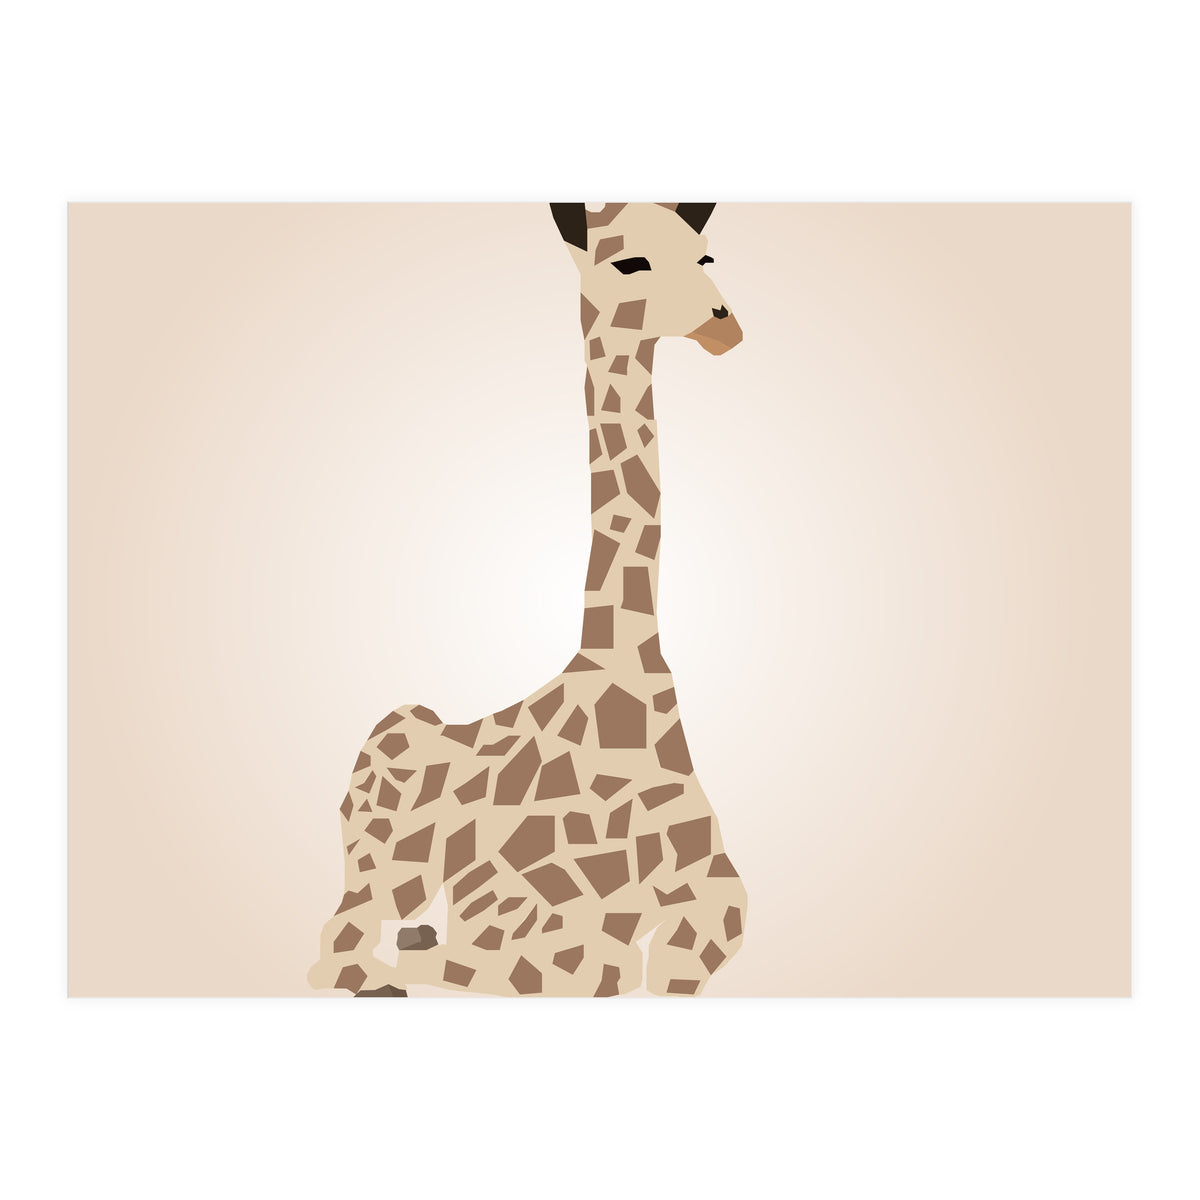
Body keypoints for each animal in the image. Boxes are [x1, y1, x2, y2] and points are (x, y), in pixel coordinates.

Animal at [308, 202, 747, 997]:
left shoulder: (717, 901)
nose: (723, 327)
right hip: (382, 841)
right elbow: (569, 964)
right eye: (627, 262)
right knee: (341, 949)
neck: (624, 677)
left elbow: (680, 954)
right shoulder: (541, 944)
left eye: (705, 257)